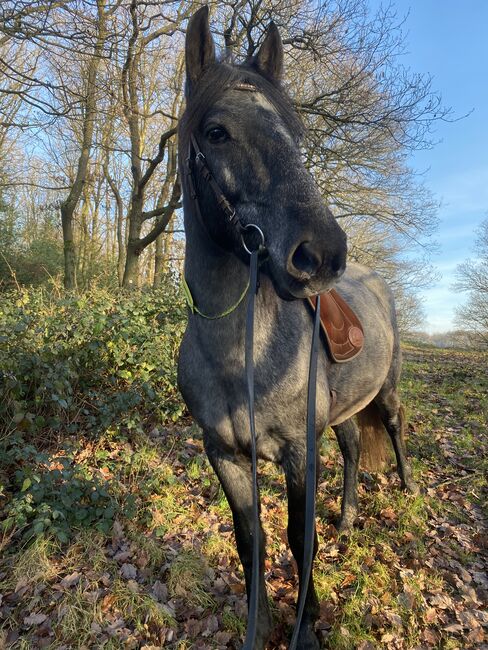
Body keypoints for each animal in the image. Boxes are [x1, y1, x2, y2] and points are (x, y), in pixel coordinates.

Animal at [177, 6, 418, 648]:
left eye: (298, 136)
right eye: (217, 132)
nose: (321, 253)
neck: (244, 358)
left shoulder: (296, 454)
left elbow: (297, 538)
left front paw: (307, 628)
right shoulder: (226, 456)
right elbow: (252, 542)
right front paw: (258, 625)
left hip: (385, 394)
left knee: (393, 430)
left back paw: (407, 491)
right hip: (341, 412)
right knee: (356, 447)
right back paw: (349, 520)